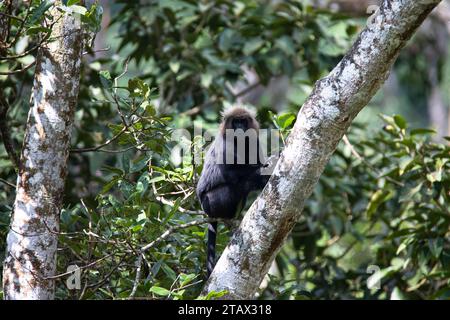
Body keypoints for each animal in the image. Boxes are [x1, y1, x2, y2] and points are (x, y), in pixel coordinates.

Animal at [195, 106, 268, 276]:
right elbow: (231, 173)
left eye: (243, 121)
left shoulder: (253, 141)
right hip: (211, 202)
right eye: (235, 122)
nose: (239, 128)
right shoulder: (224, 145)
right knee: (236, 186)